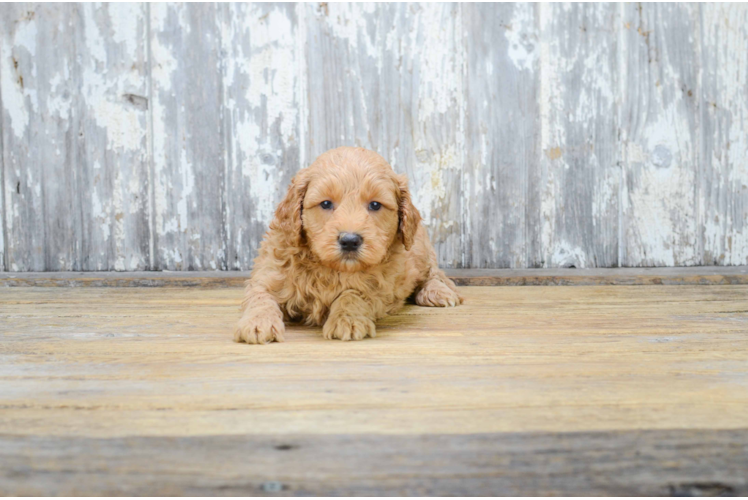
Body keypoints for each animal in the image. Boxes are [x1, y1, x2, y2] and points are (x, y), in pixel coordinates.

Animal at [237, 145, 464, 344]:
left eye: (375, 205)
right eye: (326, 203)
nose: (349, 241)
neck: (330, 268)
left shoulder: (378, 285)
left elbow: (353, 295)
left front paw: (347, 320)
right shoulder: (269, 273)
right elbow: (260, 297)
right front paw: (258, 323)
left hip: (420, 248)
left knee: (434, 273)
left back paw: (438, 292)